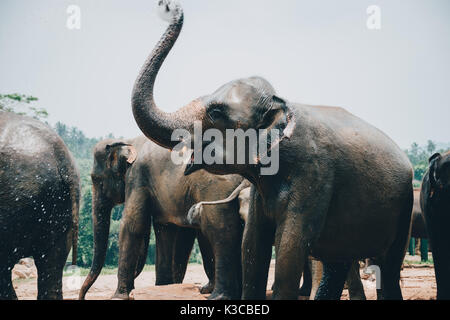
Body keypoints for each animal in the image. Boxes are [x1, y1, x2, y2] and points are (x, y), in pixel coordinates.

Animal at [78, 136, 244, 300]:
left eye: (97, 179)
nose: (83, 297)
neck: (128, 141)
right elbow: (164, 228)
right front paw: (163, 286)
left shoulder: (136, 177)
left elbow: (132, 224)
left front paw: (118, 297)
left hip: (216, 189)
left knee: (218, 229)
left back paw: (217, 295)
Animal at [129, 1, 412, 300]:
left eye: (216, 113)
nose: (168, 6)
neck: (280, 104)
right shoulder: (259, 186)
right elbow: (253, 244)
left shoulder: (315, 174)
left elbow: (290, 245)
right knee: (337, 262)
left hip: (403, 207)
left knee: (388, 266)